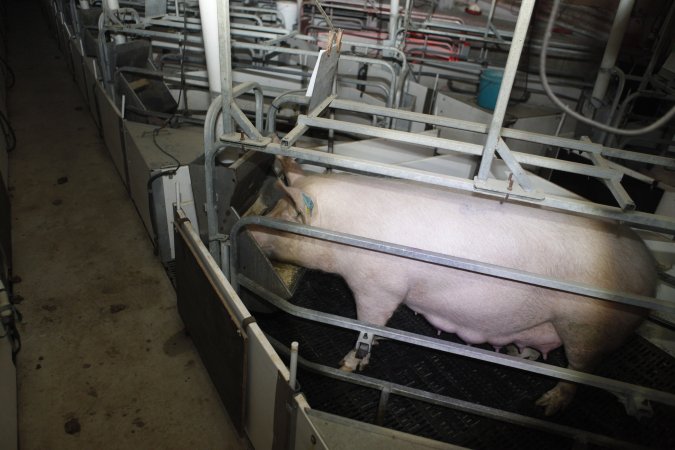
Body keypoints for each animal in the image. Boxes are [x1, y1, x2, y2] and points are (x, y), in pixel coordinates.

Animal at [251, 156, 656, 416]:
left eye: (286, 216)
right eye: (272, 208)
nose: (250, 228)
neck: (345, 232)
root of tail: (650, 282)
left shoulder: (379, 284)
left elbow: (368, 322)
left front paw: (349, 364)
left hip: (585, 327)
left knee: (577, 374)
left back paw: (545, 405)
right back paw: (516, 354)